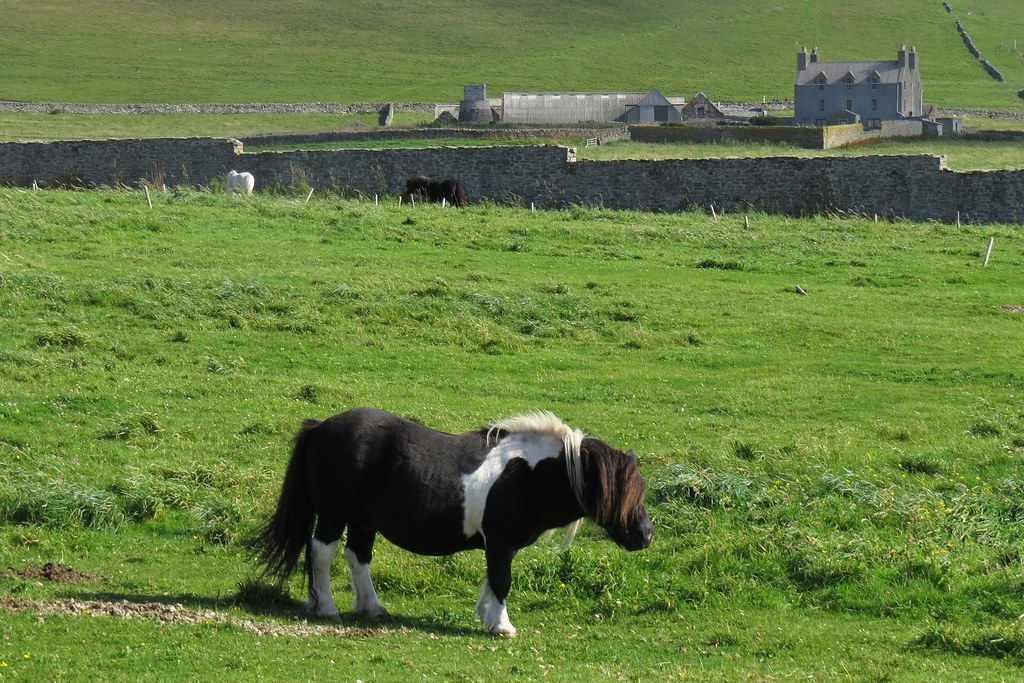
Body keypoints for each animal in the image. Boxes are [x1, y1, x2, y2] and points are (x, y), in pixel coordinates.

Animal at [255, 407, 652, 636]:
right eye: (621, 491)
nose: (646, 535)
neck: (528, 474)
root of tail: (321, 427)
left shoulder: (500, 544)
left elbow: (492, 581)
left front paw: (488, 617)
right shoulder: (500, 541)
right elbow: (501, 581)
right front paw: (502, 626)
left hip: (363, 520)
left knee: (357, 557)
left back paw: (373, 608)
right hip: (334, 513)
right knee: (322, 554)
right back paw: (326, 608)